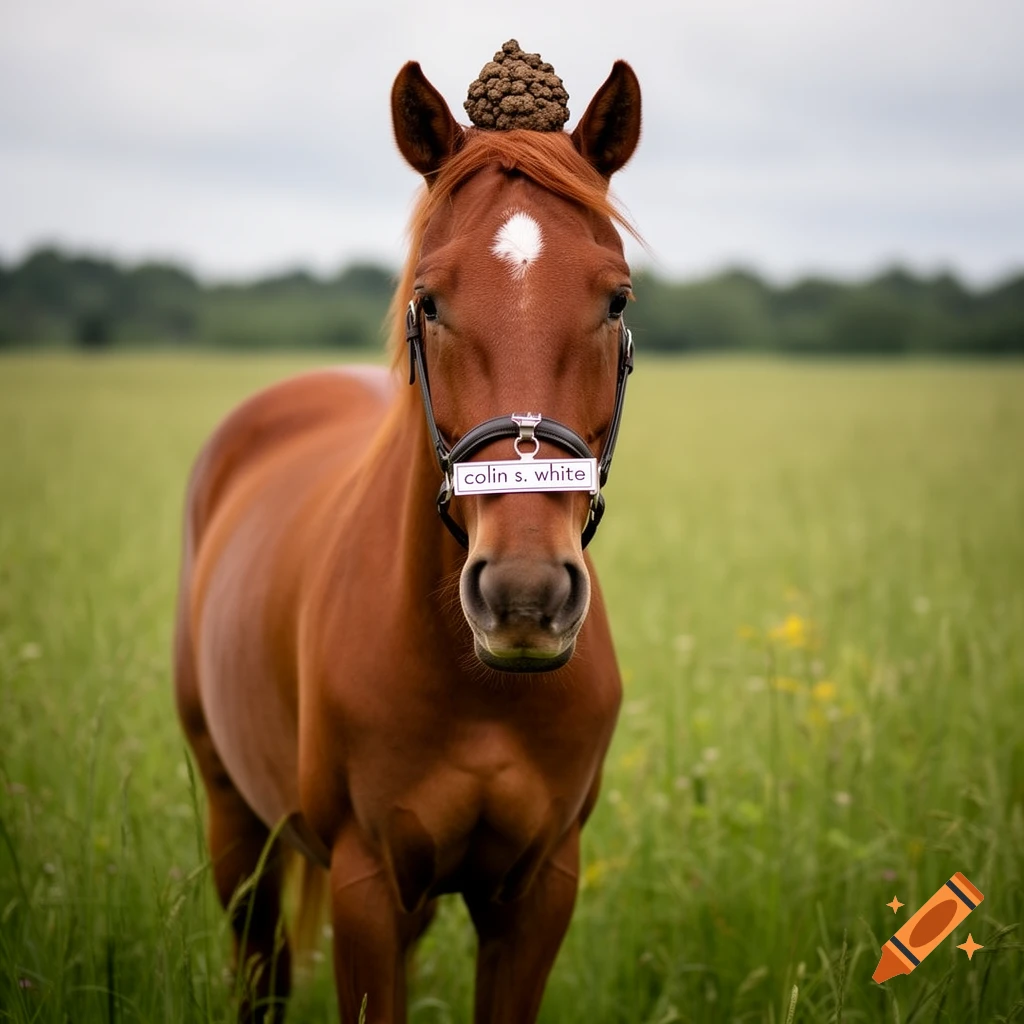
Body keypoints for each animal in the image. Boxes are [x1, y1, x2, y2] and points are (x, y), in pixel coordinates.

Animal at [173, 53, 641, 1024]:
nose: (525, 597)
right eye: (430, 299)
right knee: (262, 970)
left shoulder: (539, 889)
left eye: (615, 299)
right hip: (237, 824)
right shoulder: (366, 886)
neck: (478, 689)